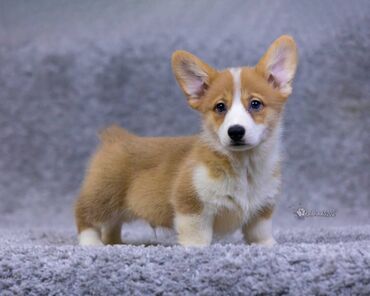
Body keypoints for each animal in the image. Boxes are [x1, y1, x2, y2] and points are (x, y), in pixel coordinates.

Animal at [74, 34, 298, 247]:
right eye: (220, 107)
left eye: (255, 104)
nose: (235, 131)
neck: (244, 166)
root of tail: (115, 138)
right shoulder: (191, 204)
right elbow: (197, 234)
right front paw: (196, 248)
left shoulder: (263, 208)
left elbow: (259, 231)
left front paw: (268, 245)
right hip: (103, 196)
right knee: (84, 215)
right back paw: (92, 243)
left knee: (112, 225)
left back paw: (115, 243)